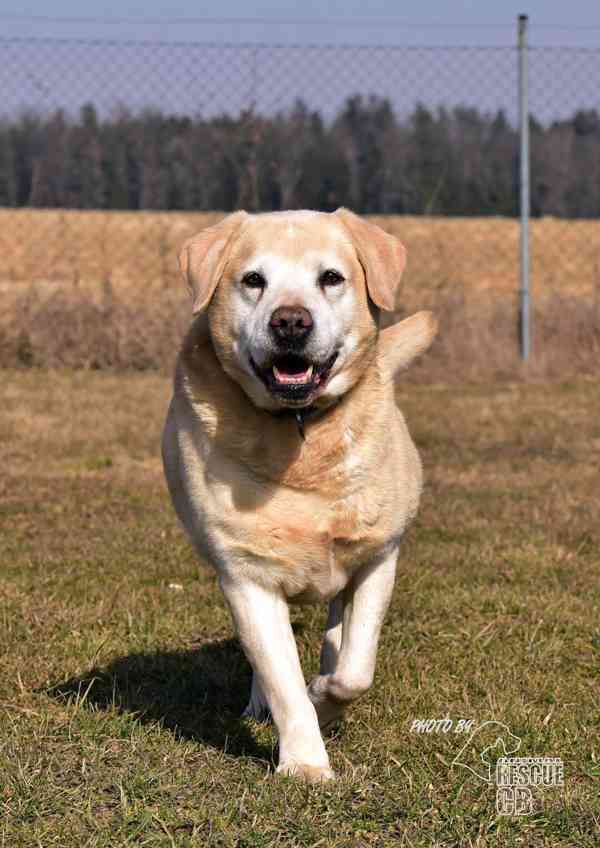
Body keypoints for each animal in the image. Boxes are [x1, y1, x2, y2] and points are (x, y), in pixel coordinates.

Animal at [162, 210, 438, 780]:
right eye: (253, 280)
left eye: (330, 278)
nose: (290, 322)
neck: (301, 429)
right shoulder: (245, 576)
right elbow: (281, 677)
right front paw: (306, 763)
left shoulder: (379, 557)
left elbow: (355, 670)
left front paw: (326, 698)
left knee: (339, 637)